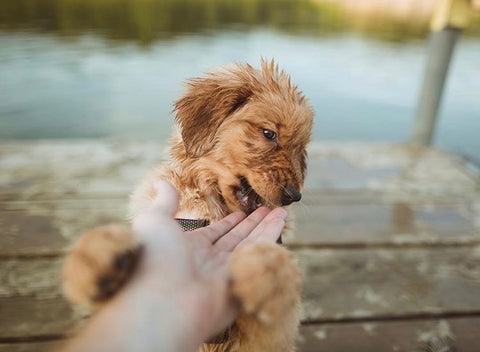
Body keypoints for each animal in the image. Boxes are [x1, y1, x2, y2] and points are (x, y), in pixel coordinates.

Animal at [62, 61, 316, 352]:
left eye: (300, 148)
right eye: (268, 133)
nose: (294, 195)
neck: (213, 207)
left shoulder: (268, 339)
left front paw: (267, 270)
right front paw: (96, 254)